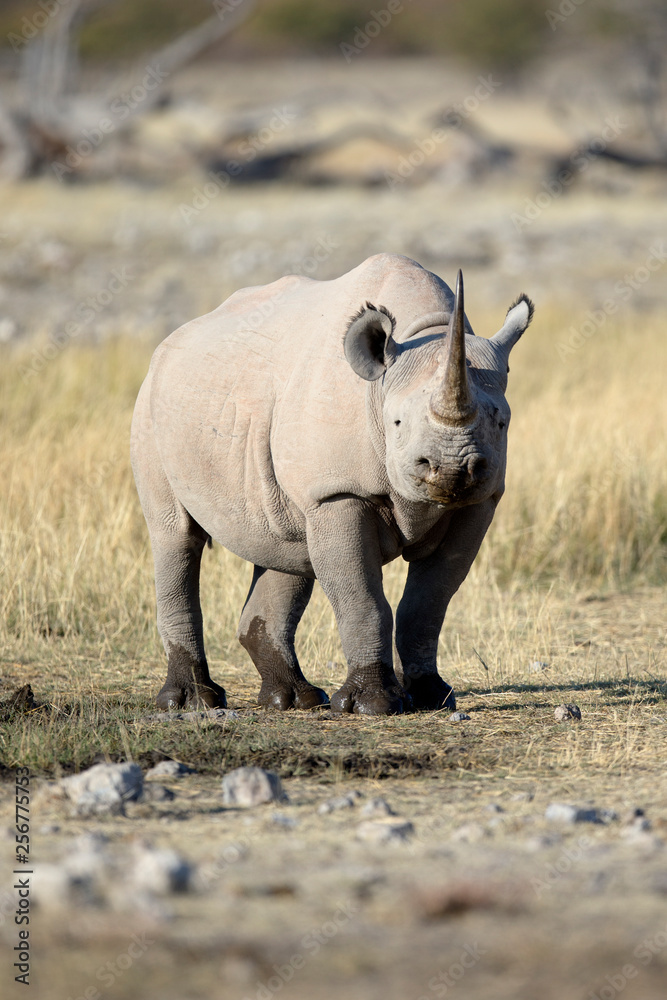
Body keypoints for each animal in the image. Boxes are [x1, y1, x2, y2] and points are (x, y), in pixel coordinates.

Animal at [131, 253, 533, 715]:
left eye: (501, 423)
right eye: (397, 422)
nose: (450, 469)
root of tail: (166, 345)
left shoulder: (477, 502)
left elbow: (429, 602)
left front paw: (434, 697)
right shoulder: (337, 492)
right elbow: (363, 598)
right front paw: (373, 705)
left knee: (285, 547)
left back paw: (295, 700)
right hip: (150, 406)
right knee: (176, 535)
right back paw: (191, 702)